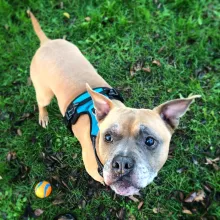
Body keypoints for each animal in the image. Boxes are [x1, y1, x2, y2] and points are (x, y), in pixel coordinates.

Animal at [27, 11, 201, 196]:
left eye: (150, 141)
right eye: (108, 137)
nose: (122, 164)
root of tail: (47, 42)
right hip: (44, 93)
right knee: (42, 103)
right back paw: (43, 116)